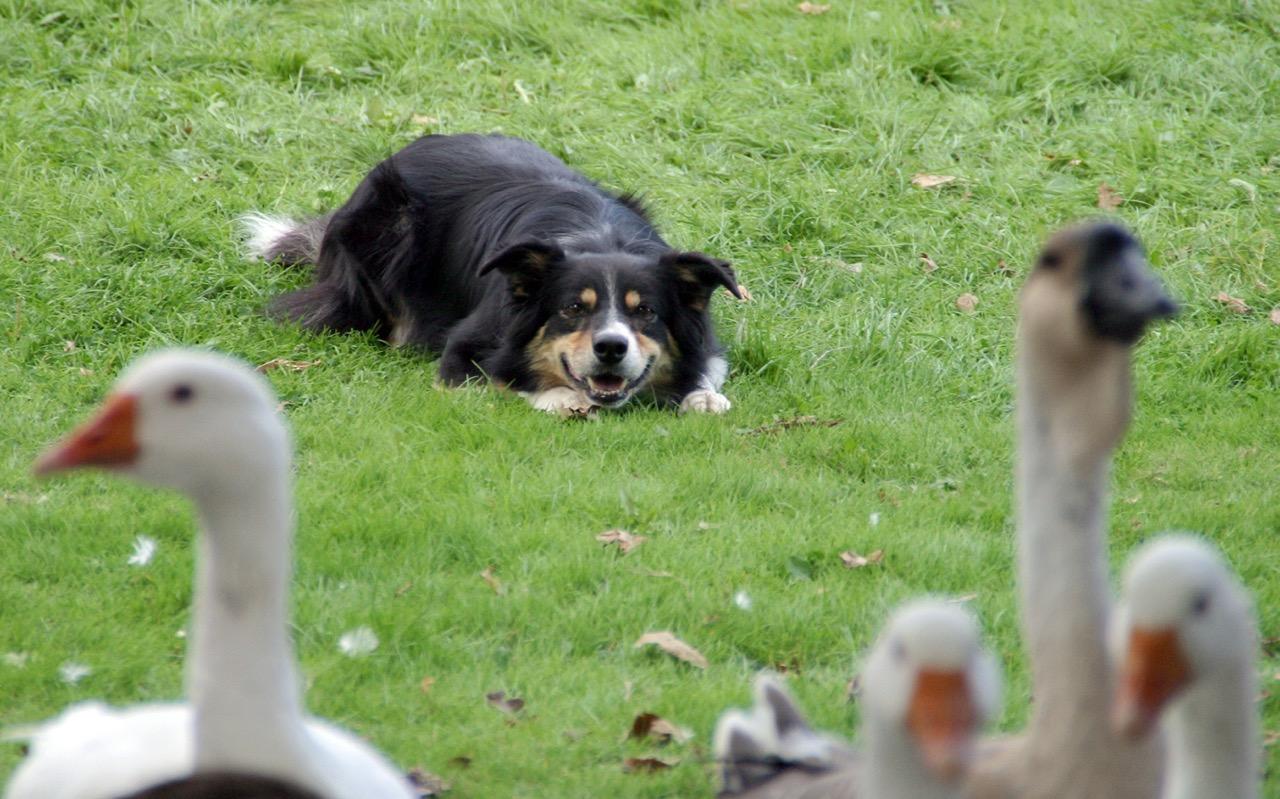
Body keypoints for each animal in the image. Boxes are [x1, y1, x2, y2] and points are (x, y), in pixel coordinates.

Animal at [243, 133, 742, 414]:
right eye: (572, 309)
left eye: (647, 313)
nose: (611, 349)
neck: (604, 240)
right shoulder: (465, 348)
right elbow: (501, 378)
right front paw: (563, 399)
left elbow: (708, 372)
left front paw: (701, 397)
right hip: (387, 229)